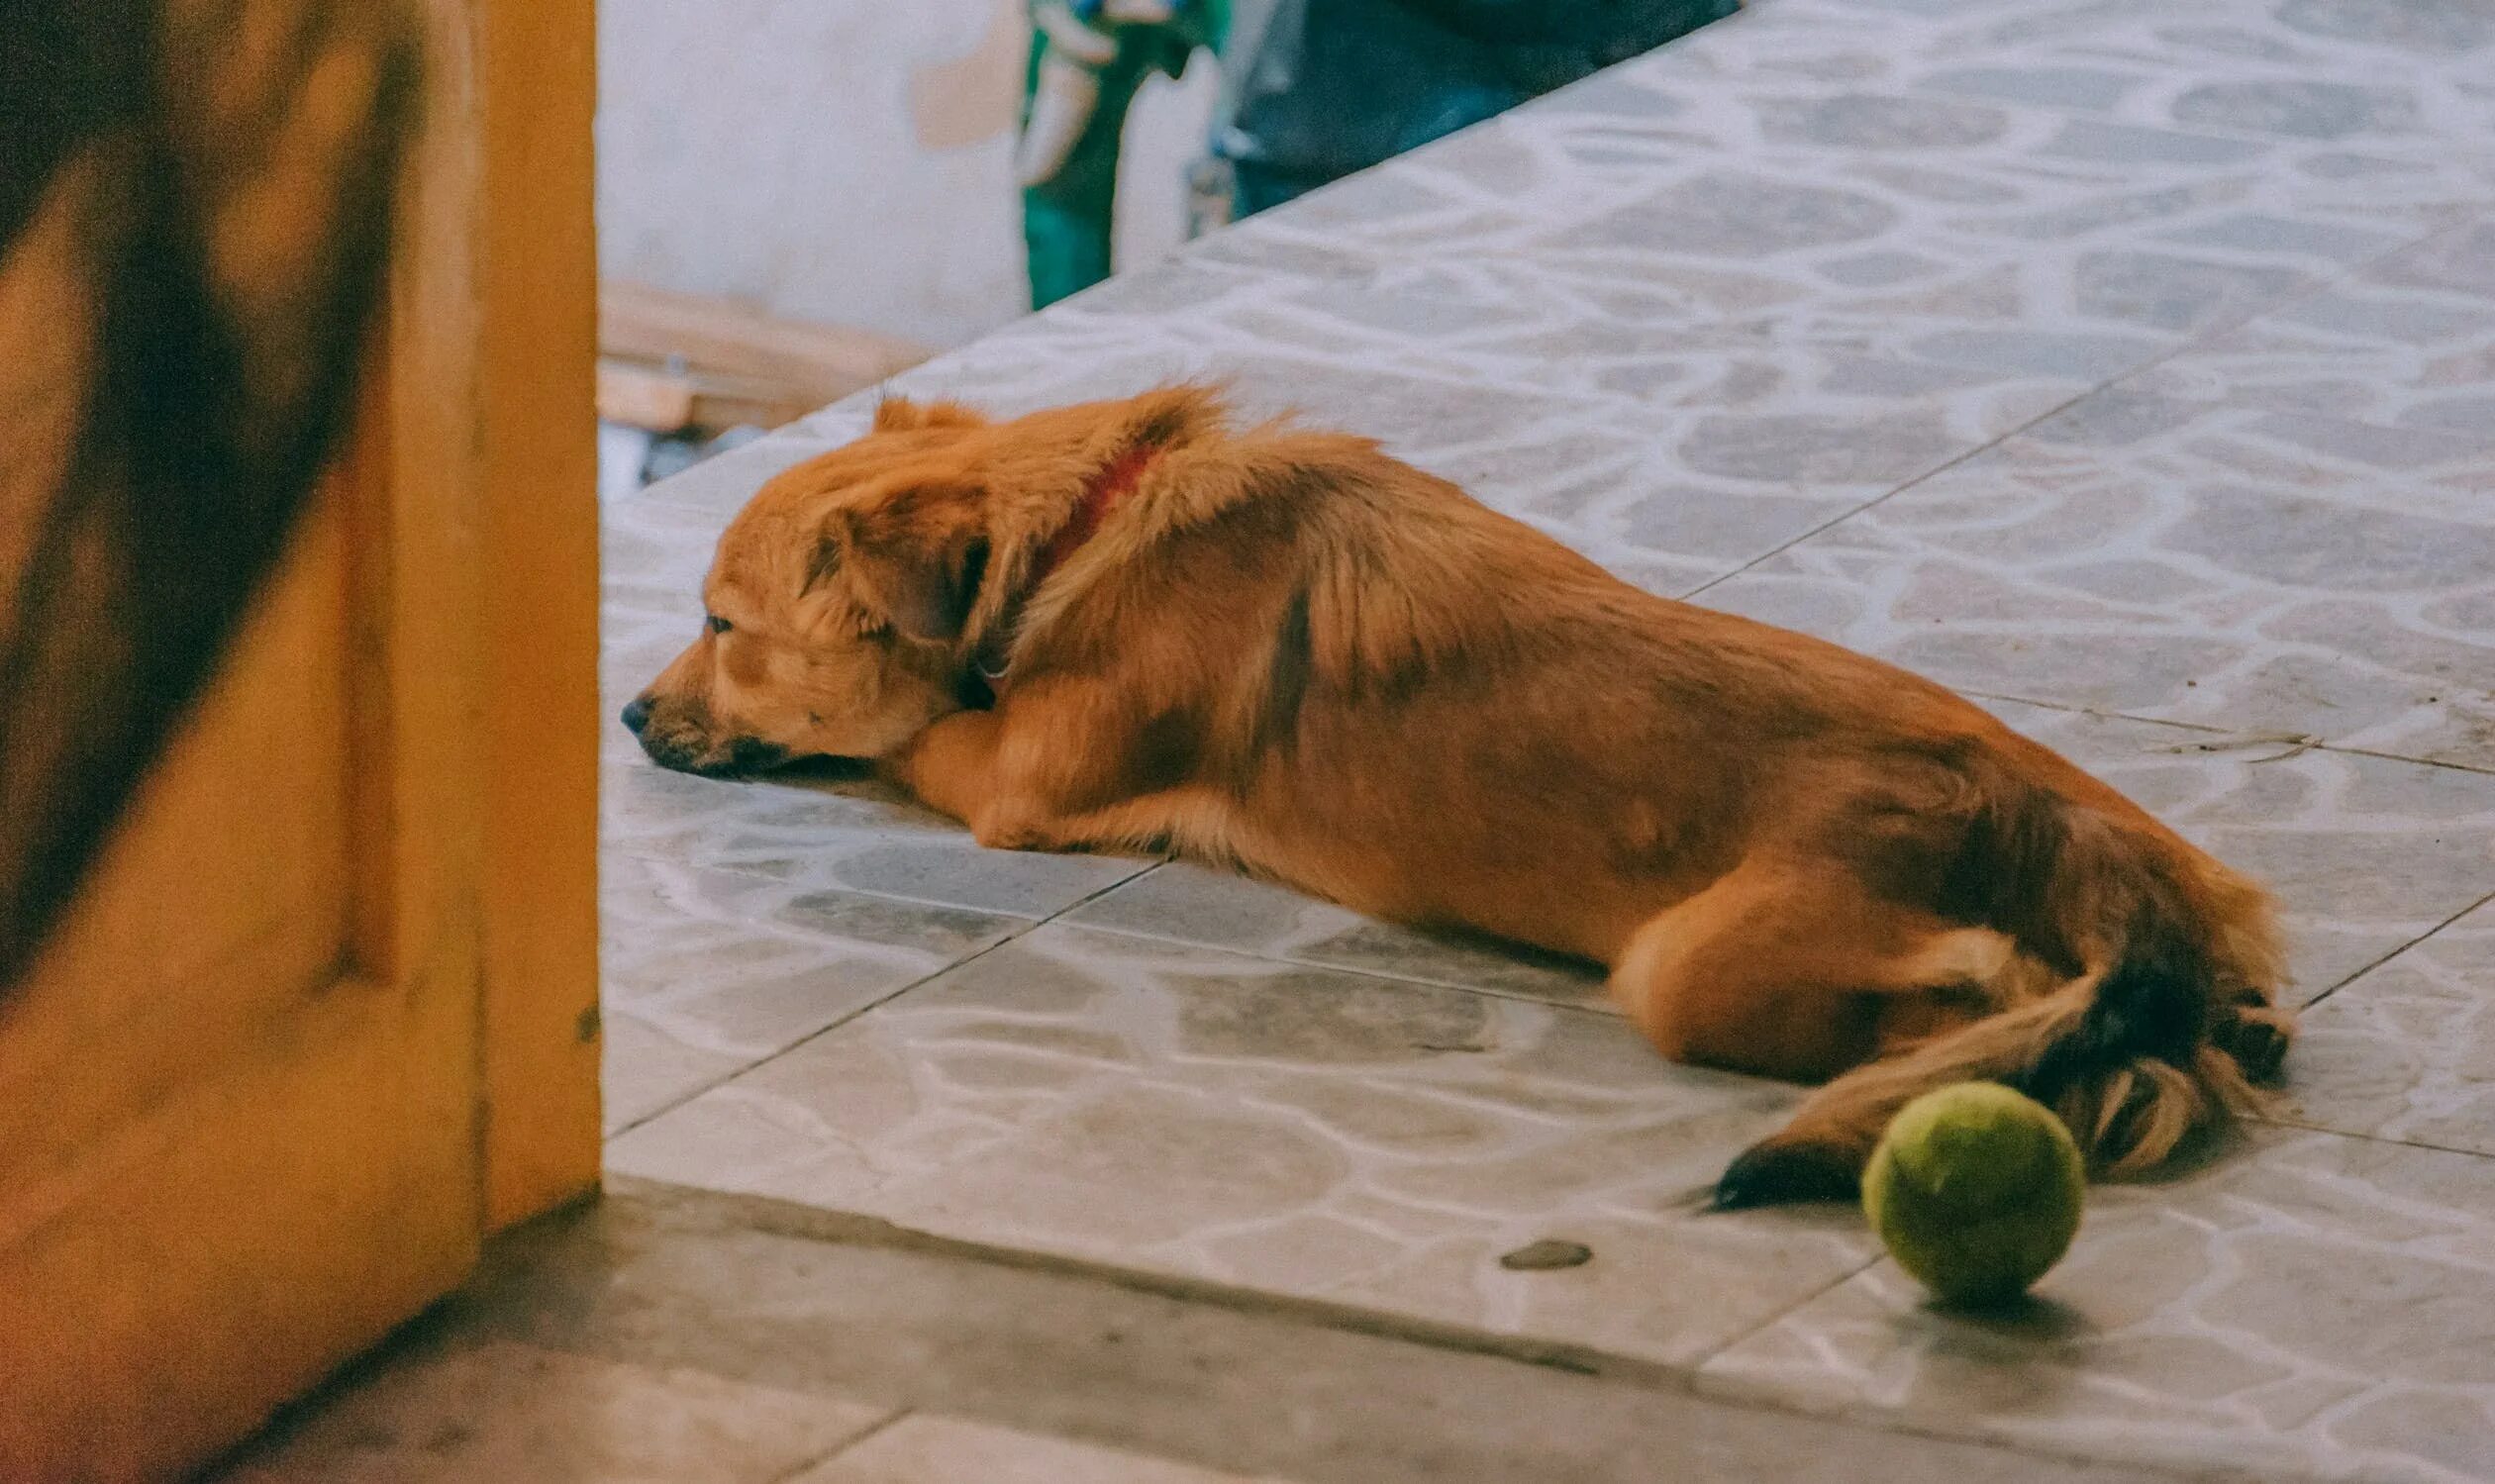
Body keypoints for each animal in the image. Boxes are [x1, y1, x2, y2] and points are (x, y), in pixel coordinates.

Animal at [629, 386, 2295, 1207]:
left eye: (721, 625)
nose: (630, 715)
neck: (1092, 513)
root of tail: (2054, 824)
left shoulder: (1016, 779)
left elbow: (912, 731)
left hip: (1686, 968)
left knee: (1996, 1009)